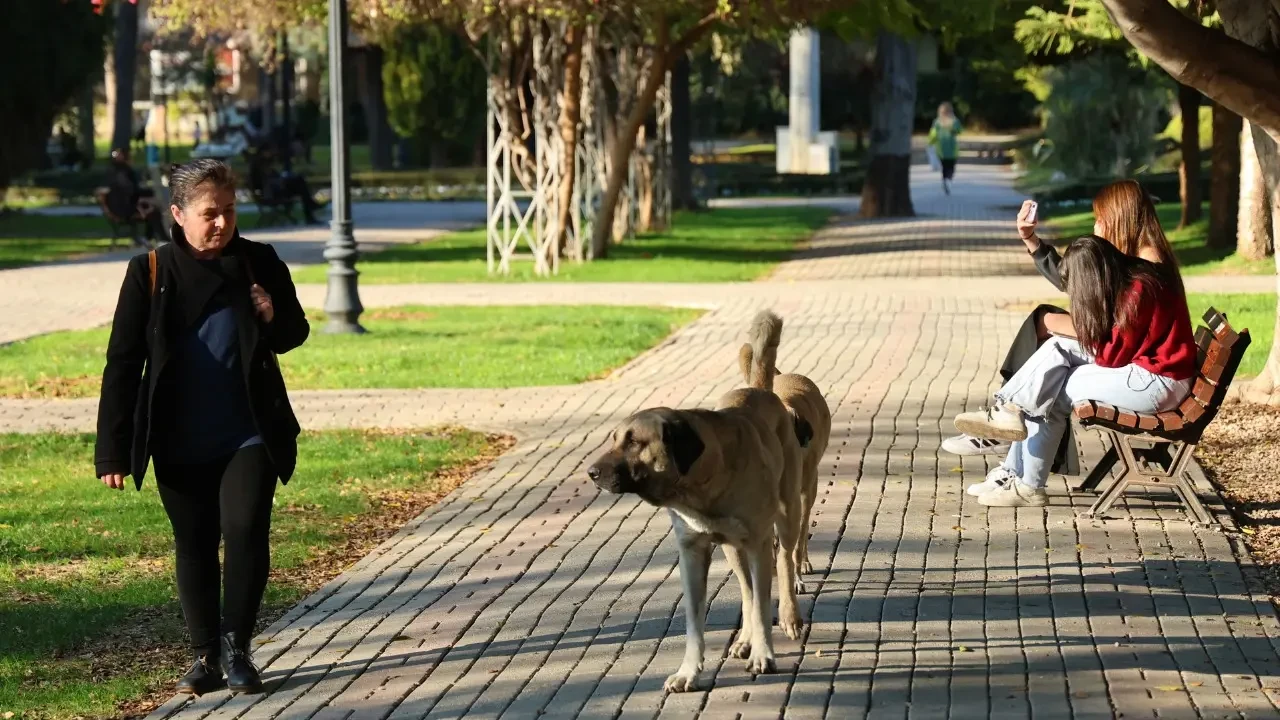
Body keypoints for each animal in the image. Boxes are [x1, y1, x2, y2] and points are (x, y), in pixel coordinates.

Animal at [586, 312, 803, 691]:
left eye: (634, 441)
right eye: (614, 439)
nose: (591, 472)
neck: (700, 486)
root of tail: (761, 390)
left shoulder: (758, 542)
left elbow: (764, 604)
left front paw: (764, 655)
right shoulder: (691, 550)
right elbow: (695, 619)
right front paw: (689, 671)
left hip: (786, 516)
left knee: (784, 561)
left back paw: (788, 617)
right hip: (732, 548)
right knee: (747, 589)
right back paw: (744, 639)